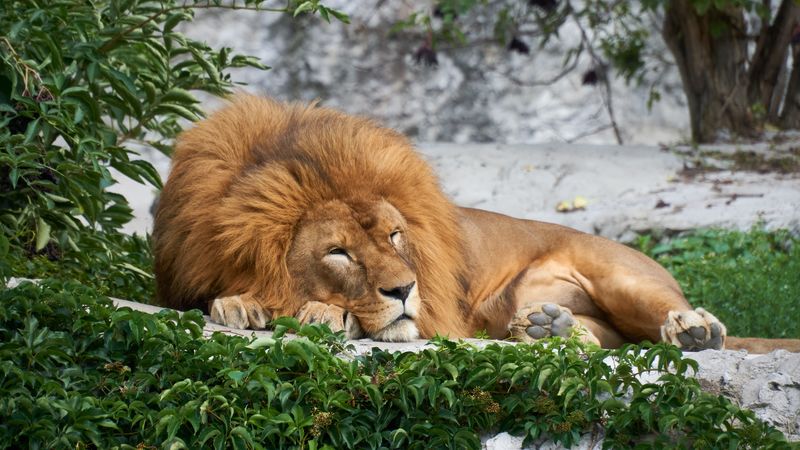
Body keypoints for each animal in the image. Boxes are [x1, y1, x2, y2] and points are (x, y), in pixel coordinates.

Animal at [153, 95, 800, 353]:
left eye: (395, 236)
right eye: (339, 252)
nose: (404, 289)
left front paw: (319, 312)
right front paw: (239, 303)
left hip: (623, 277)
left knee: (671, 317)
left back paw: (693, 330)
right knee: (596, 340)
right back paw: (548, 329)